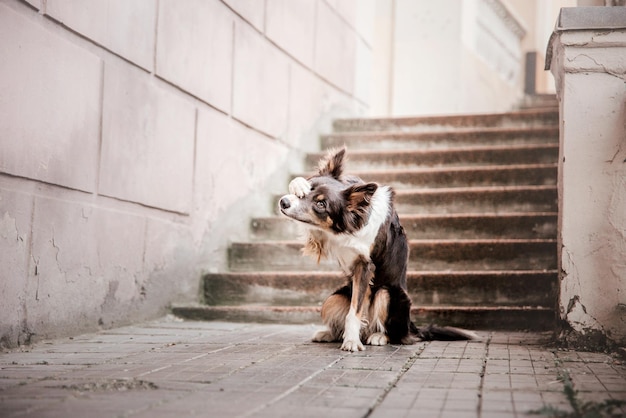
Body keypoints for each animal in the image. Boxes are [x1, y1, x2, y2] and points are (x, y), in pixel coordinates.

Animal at [278, 149, 472, 352]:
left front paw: (352, 341)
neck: (354, 222)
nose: (283, 202)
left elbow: (354, 312)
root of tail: (412, 327)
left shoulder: (365, 265)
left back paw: (378, 336)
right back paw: (330, 333)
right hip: (334, 299)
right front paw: (298, 184)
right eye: (310, 189)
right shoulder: (321, 236)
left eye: (321, 204)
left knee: (397, 334)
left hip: (388, 294)